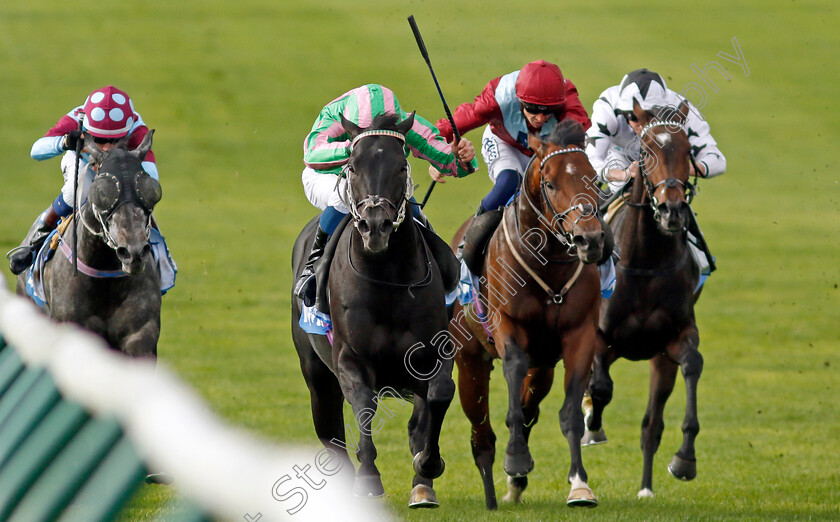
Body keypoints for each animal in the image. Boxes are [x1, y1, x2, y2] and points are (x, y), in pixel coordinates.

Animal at [292, 115, 456, 508]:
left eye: (401, 166)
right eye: (352, 166)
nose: (375, 225)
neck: (387, 279)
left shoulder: (434, 352)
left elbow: (440, 394)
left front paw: (427, 465)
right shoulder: (350, 358)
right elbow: (364, 404)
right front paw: (368, 478)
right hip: (316, 375)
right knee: (330, 433)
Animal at [450, 120, 608, 506]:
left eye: (593, 179)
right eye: (550, 183)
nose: (590, 239)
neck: (549, 264)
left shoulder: (579, 335)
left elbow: (569, 414)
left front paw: (580, 485)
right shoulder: (508, 328)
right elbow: (512, 390)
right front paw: (517, 458)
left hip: (544, 365)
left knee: (530, 405)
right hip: (470, 360)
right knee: (481, 430)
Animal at [576, 100, 704, 496]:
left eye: (688, 150)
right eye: (646, 152)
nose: (671, 209)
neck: (646, 260)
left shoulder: (673, 340)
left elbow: (693, 365)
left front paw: (685, 460)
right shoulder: (600, 337)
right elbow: (601, 388)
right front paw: (592, 425)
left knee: (651, 425)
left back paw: (646, 487)